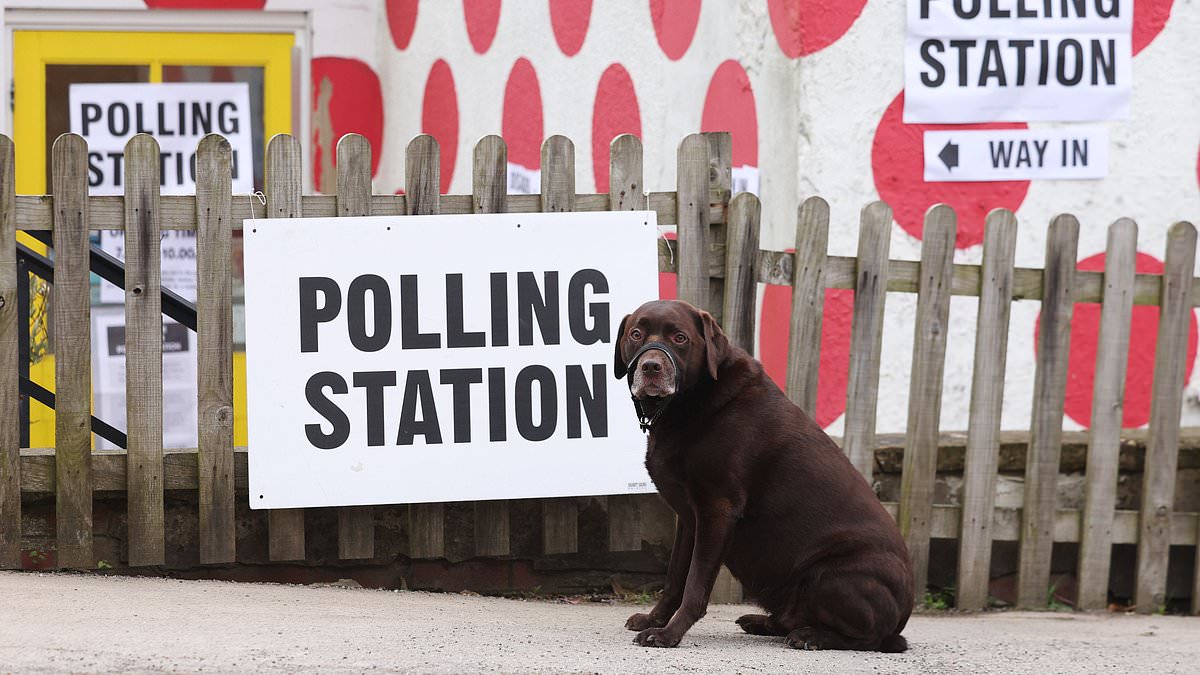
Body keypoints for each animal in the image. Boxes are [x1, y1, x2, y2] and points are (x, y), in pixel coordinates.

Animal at [614, 297, 912, 648]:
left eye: (680, 338)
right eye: (636, 334)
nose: (650, 367)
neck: (691, 401)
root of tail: (903, 615)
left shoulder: (717, 510)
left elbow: (695, 587)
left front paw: (668, 634)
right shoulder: (688, 517)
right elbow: (675, 579)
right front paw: (654, 620)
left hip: (832, 575)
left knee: (872, 638)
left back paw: (810, 635)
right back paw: (763, 622)